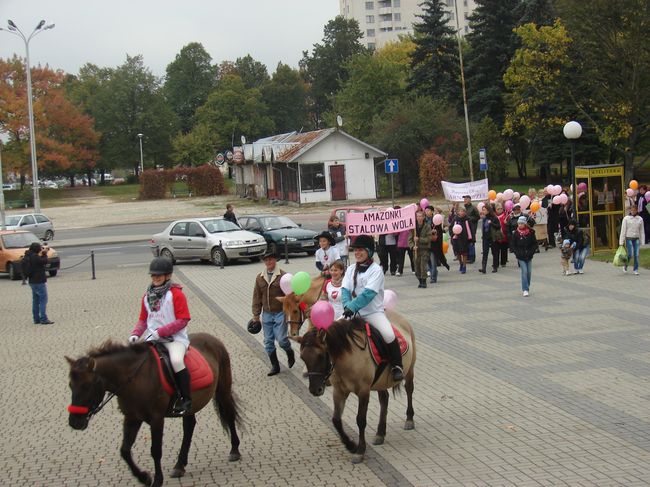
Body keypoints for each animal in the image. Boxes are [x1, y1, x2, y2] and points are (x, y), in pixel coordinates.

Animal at [65, 334, 240, 487]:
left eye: (86, 386)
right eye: (70, 386)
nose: (74, 422)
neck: (134, 378)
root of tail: (212, 339)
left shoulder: (156, 419)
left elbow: (156, 450)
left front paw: (156, 480)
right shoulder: (132, 417)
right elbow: (125, 451)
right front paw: (144, 477)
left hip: (223, 389)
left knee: (229, 415)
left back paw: (234, 451)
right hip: (191, 405)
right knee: (189, 426)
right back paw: (179, 465)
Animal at [290, 312, 412, 466]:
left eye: (321, 355)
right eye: (302, 357)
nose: (315, 390)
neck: (347, 357)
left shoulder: (363, 391)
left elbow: (361, 420)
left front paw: (360, 450)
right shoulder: (339, 391)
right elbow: (336, 420)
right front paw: (350, 445)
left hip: (409, 371)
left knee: (409, 390)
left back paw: (409, 419)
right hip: (380, 381)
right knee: (384, 399)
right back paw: (380, 433)